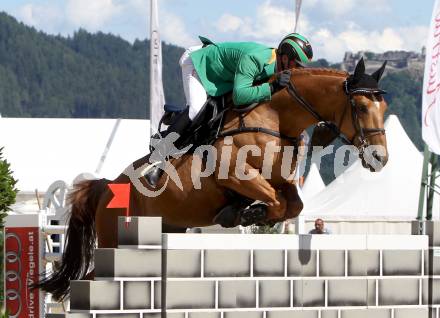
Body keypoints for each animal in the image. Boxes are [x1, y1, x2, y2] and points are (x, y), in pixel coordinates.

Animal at [37, 58, 388, 300]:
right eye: (360, 106)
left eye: (383, 107)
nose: (380, 158)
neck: (276, 118)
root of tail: (108, 185)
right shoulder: (234, 174)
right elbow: (273, 200)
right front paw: (248, 213)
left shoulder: (282, 182)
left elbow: (293, 205)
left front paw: (246, 212)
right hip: (114, 243)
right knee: (90, 280)